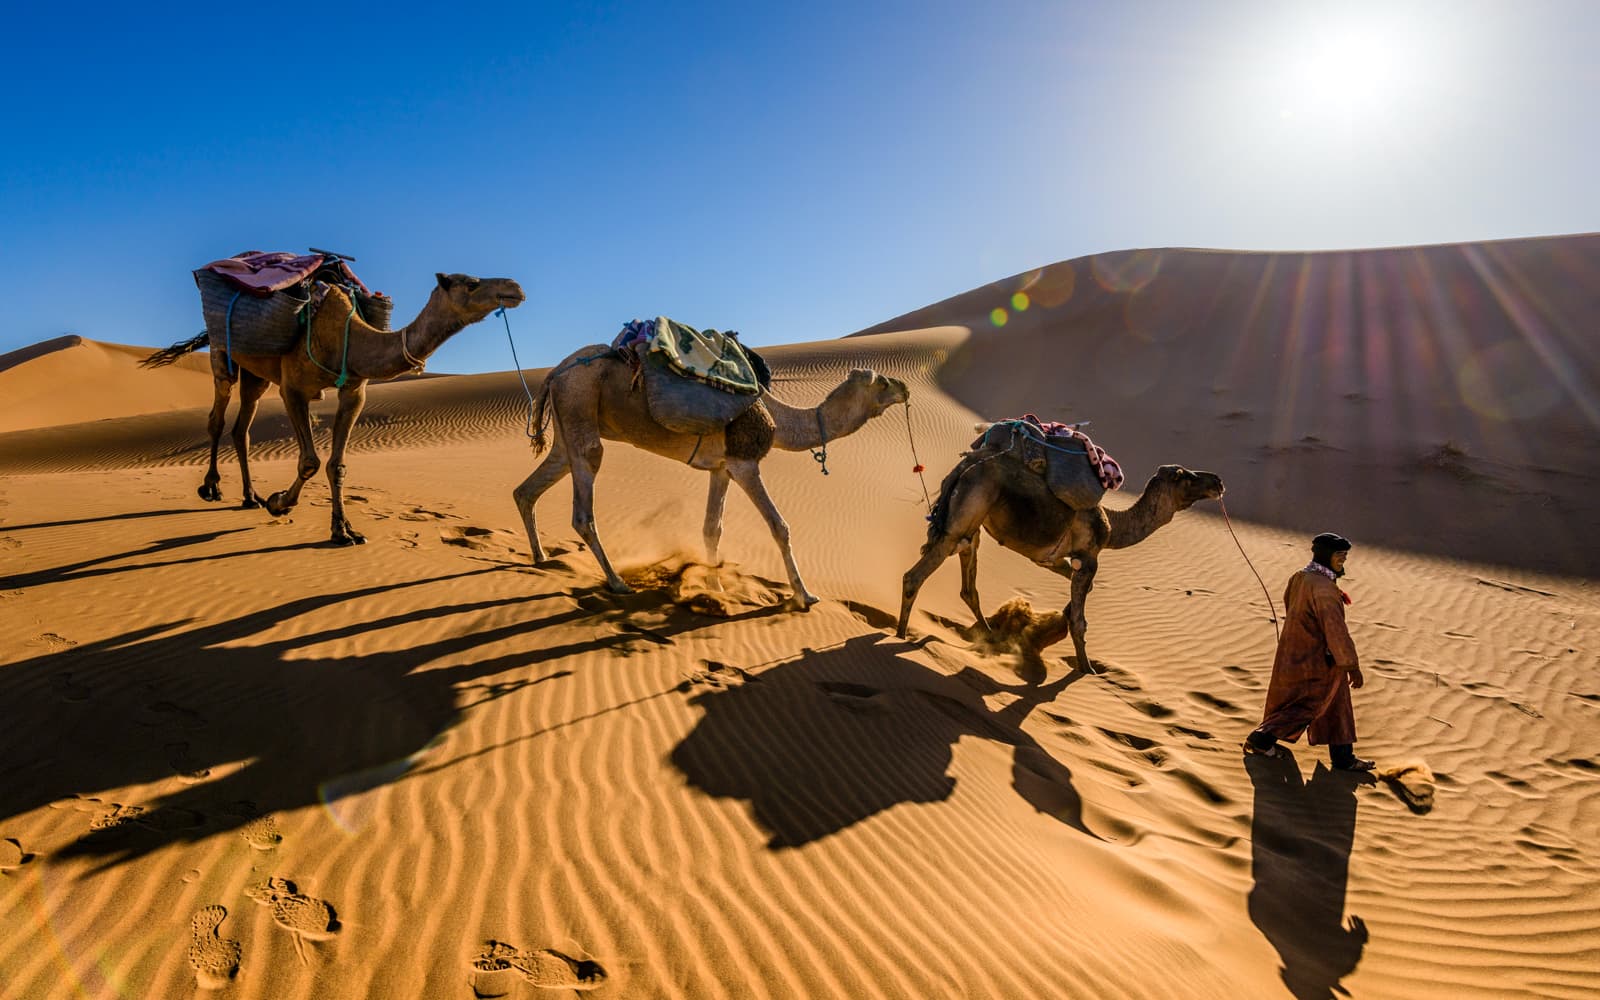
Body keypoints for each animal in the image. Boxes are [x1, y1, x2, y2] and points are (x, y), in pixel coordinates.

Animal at [143, 273, 525, 544]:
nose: (515, 287)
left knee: (242, 429)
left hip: (256, 374)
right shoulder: (293, 388)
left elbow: (337, 464)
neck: (347, 336)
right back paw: (211, 488)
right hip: (222, 353)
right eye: (472, 283)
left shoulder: (354, 391)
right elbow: (310, 461)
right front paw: (279, 503)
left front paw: (343, 530)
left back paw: (250, 497)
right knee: (217, 417)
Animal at [514, 349, 909, 609]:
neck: (779, 418)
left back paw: (541, 557)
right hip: (580, 401)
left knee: (529, 488)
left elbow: (711, 528)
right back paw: (617, 582)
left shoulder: (721, 468)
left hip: (568, 425)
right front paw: (804, 595)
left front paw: (715, 587)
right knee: (583, 502)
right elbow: (779, 526)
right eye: (881, 381)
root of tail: (554, 374)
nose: (904, 388)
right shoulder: (745, 462)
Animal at [896, 450, 1224, 672]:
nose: (1218, 480)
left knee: (968, 584)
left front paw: (1058, 622)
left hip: (971, 525)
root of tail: (964, 467)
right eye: (1184, 476)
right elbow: (1080, 621)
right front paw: (1087, 669)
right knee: (916, 576)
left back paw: (989, 636)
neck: (1113, 526)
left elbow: (1081, 594)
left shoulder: (1053, 559)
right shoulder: (1089, 558)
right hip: (964, 516)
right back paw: (899, 636)